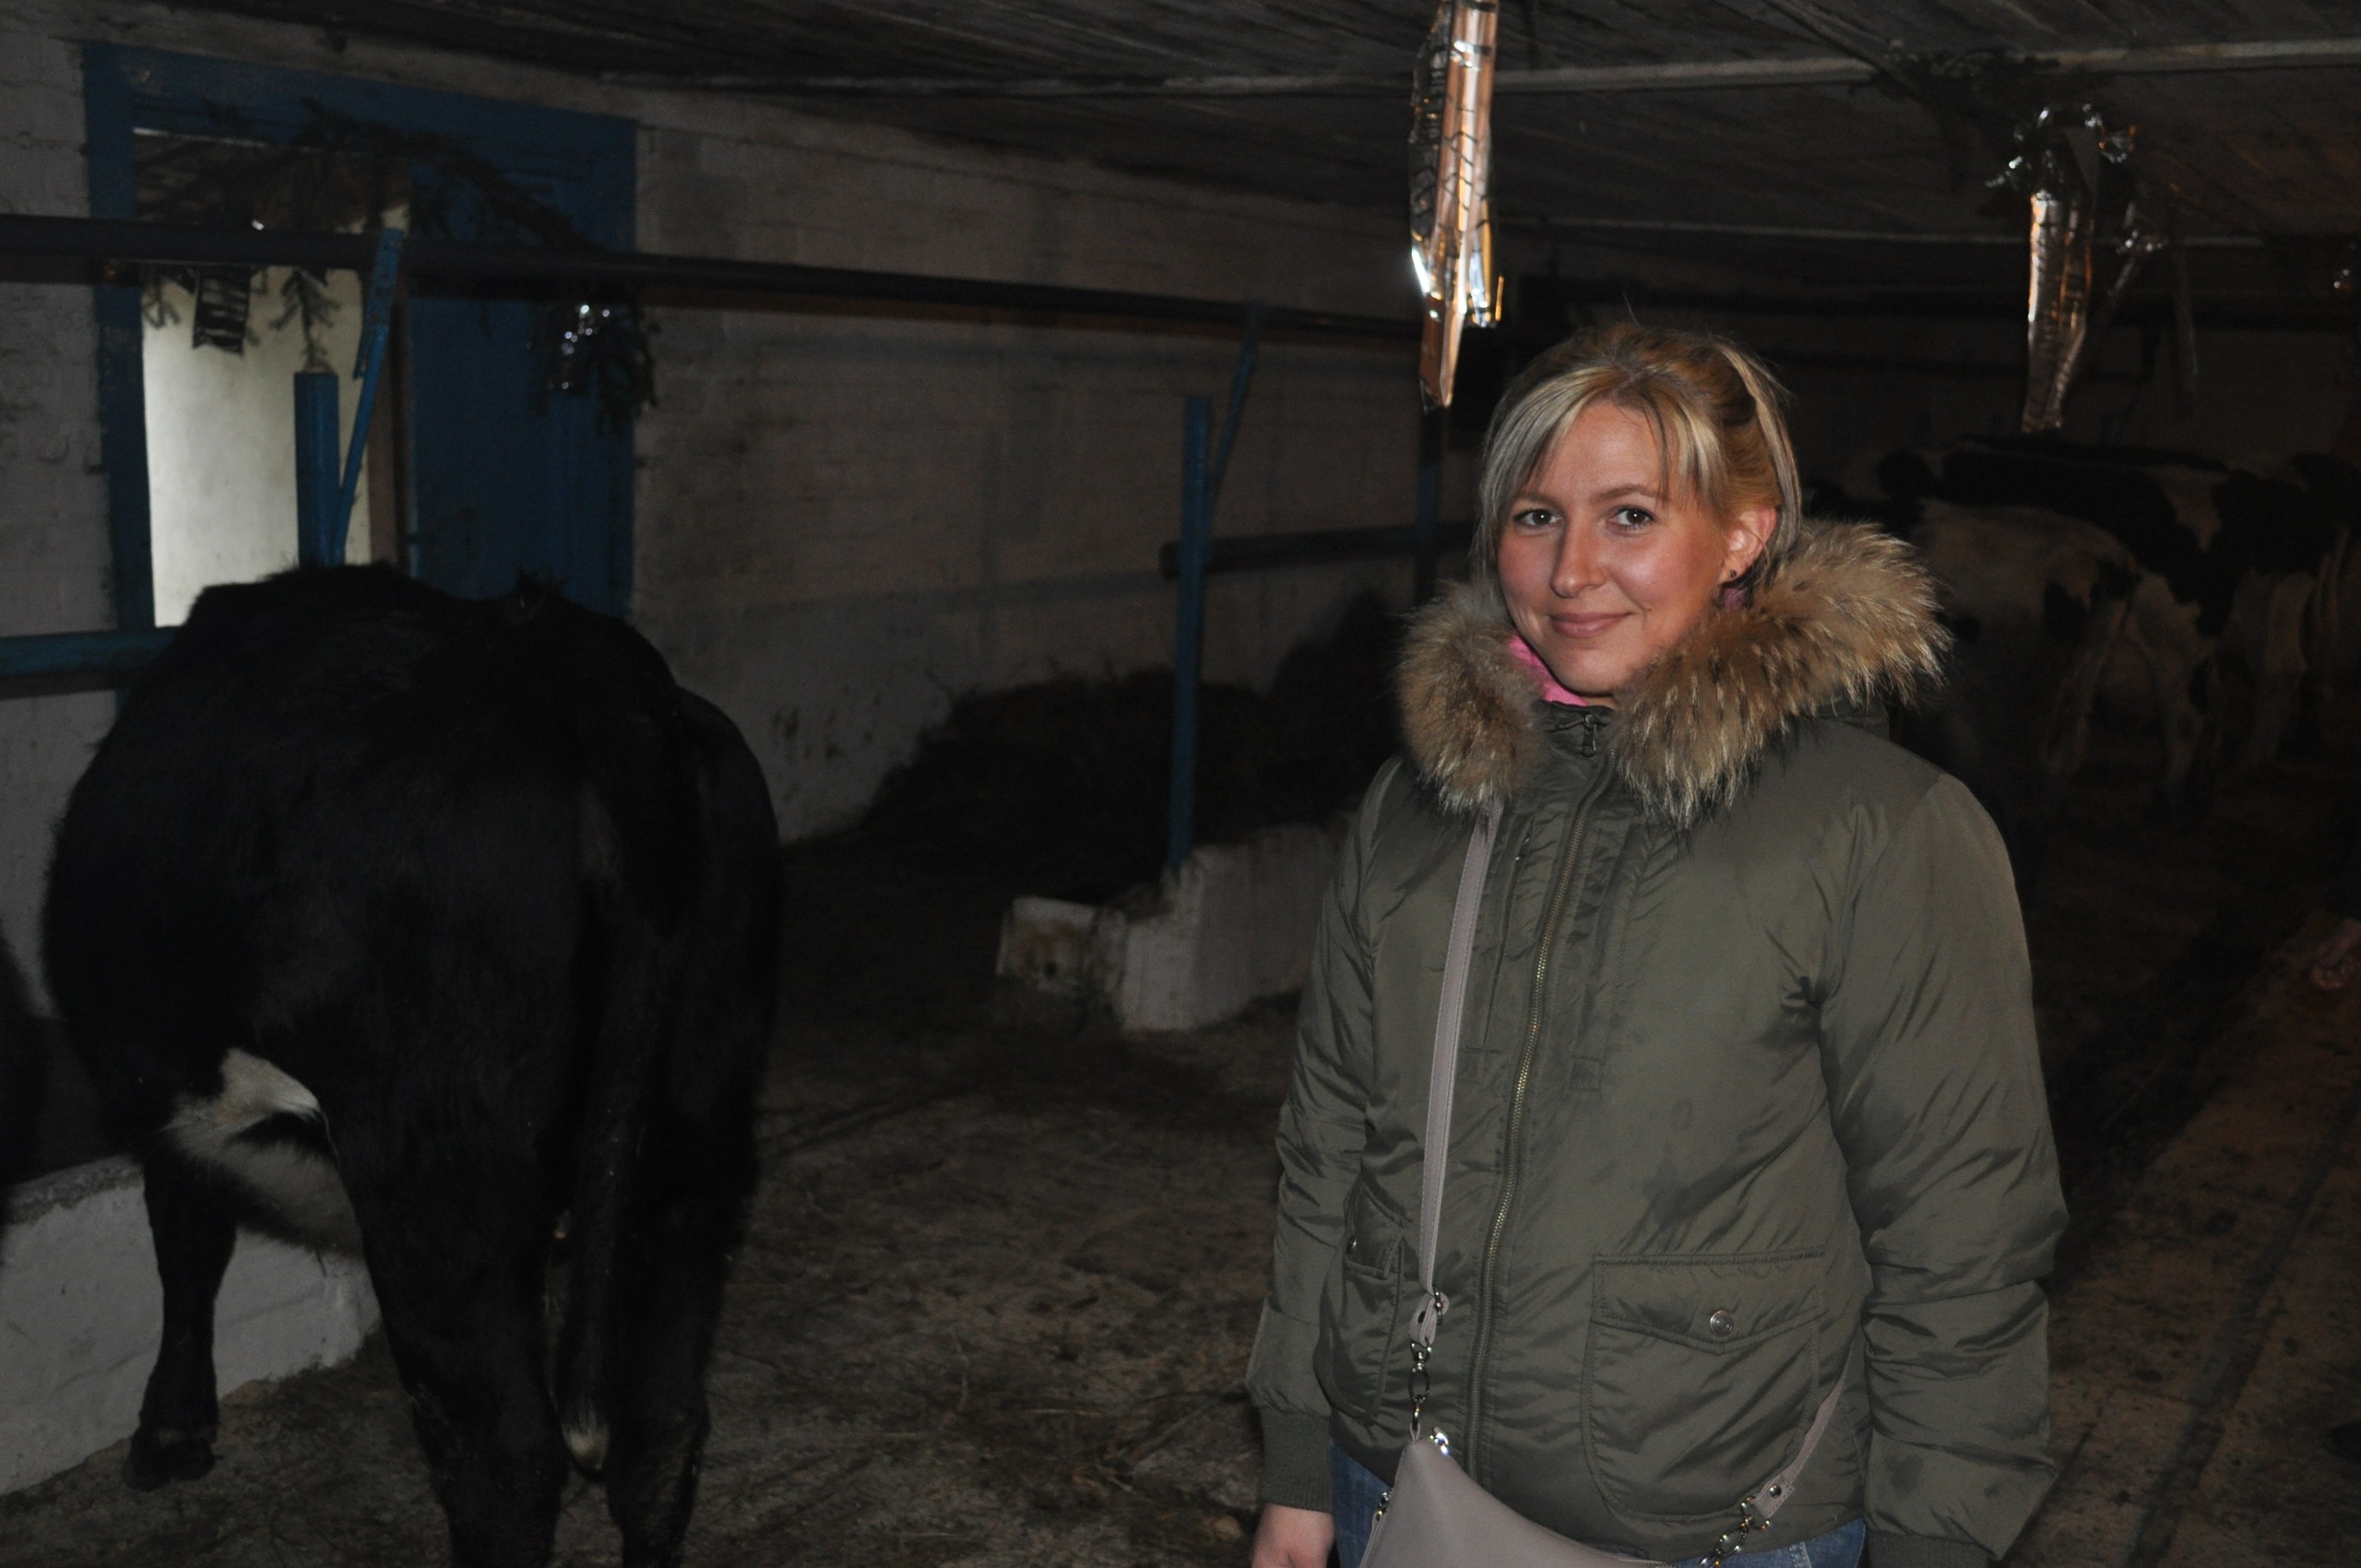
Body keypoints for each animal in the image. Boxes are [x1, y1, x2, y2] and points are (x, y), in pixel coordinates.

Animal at [43, 566, 780, 1568]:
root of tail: (575, 656)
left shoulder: (171, 1107)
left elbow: (187, 1236)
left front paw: (169, 1430)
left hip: (432, 1161)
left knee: (503, 1451)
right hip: (698, 1127)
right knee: (661, 1426)